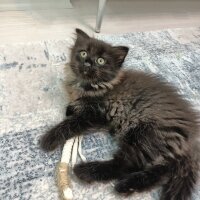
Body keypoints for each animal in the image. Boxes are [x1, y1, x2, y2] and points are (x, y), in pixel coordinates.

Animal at [40, 28, 198, 200]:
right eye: (83, 53)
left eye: (101, 61)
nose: (88, 62)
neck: (93, 85)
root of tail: (192, 140)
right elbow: (71, 109)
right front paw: (70, 108)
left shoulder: (97, 114)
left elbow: (71, 123)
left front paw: (49, 139)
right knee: (162, 172)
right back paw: (128, 187)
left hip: (145, 134)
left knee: (127, 164)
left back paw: (87, 172)